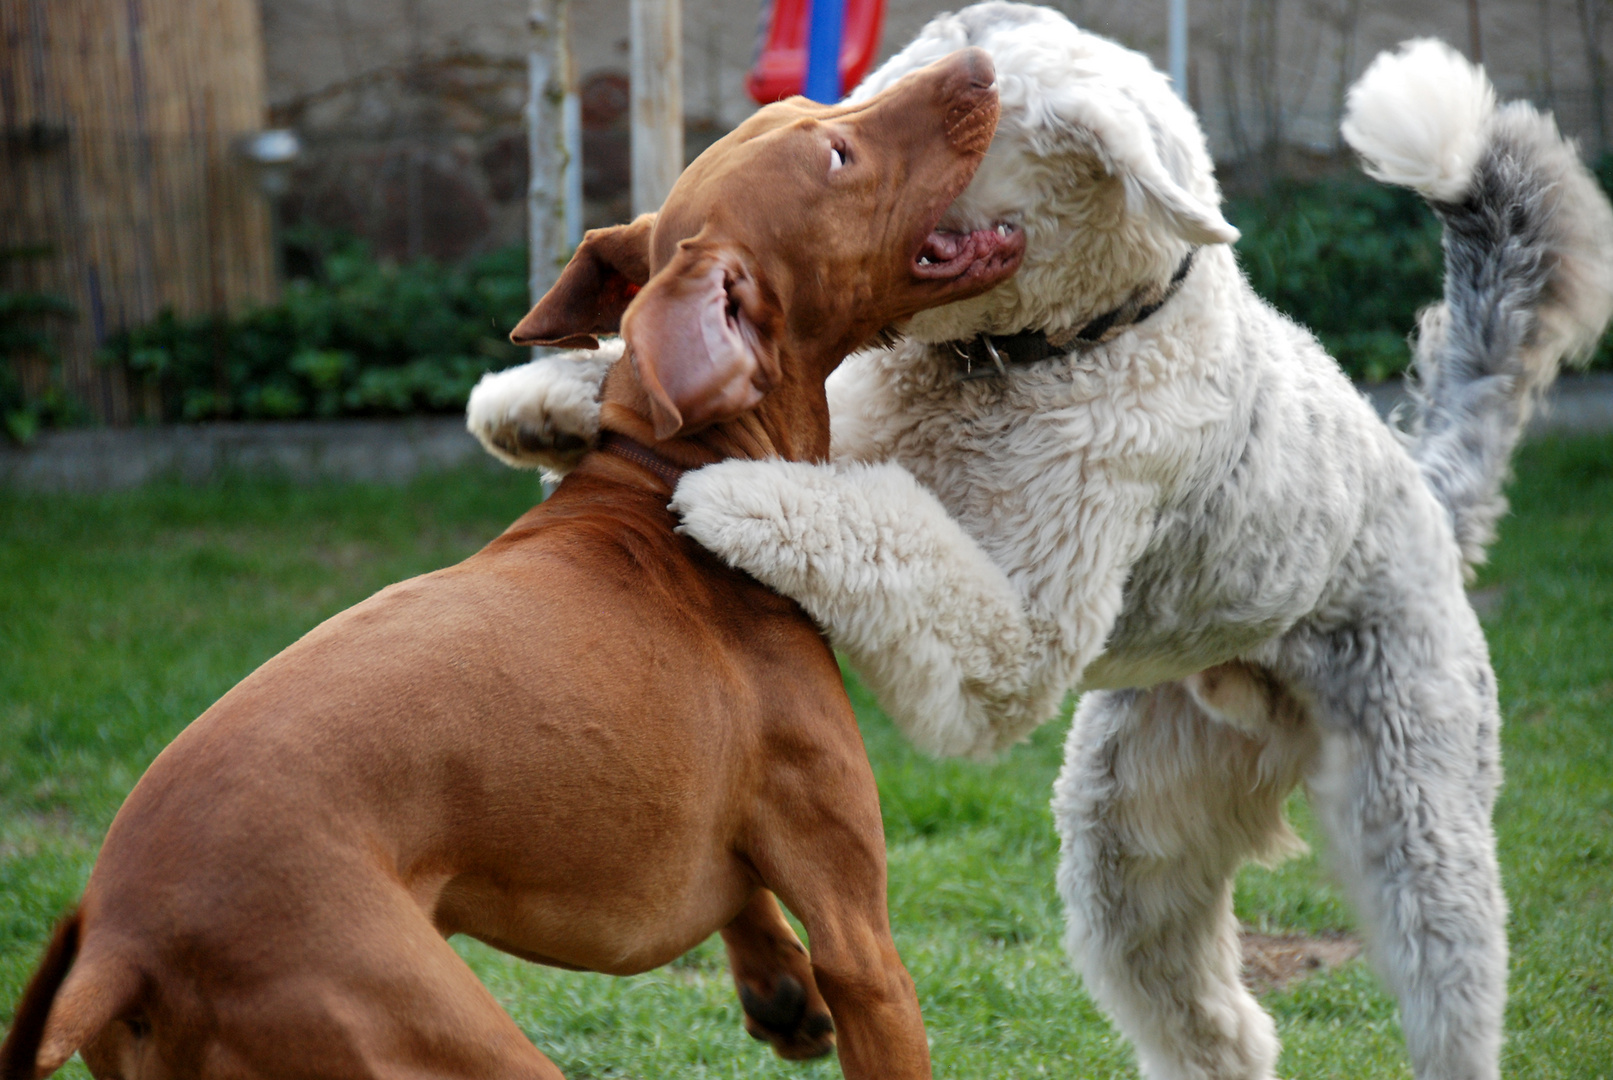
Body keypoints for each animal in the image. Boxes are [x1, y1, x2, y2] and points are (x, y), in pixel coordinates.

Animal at [3, 46, 1019, 1076]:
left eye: (817, 106)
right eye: (838, 155)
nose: (978, 63)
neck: (665, 477)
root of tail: (122, 944)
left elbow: (736, 891)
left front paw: (773, 981)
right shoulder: (862, 942)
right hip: (434, 1031)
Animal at [467, 6, 1613, 1076]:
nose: (965, 71)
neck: (1024, 358)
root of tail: (1425, 490)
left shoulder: (1009, 637)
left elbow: (874, 527)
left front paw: (733, 496)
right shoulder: (862, 421)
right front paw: (532, 404)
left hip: (1415, 827)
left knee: (1442, 998)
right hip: (1132, 843)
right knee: (1222, 1031)